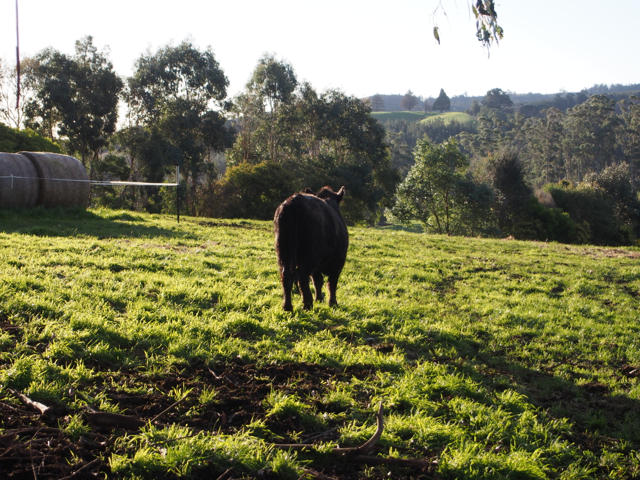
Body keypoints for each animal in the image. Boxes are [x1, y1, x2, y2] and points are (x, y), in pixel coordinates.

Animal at [272, 184, 348, 312]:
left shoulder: (318, 267)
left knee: (286, 275)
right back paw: (307, 304)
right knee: (302, 275)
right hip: (310, 256)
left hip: (283, 252)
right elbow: (331, 283)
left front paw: (319, 299)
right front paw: (332, 303)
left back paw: (287, 307)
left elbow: (318, 280)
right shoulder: (338, 263)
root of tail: (294, 200)